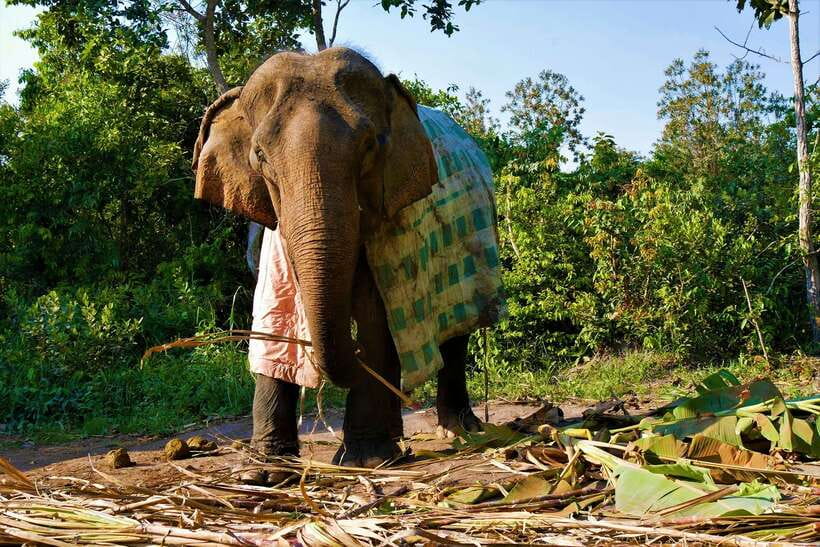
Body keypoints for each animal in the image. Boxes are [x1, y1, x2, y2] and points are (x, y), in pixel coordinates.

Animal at [191, 47, 492, 480]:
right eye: (260, 156)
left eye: (368, 147)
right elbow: (272, 318)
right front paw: (264, 472)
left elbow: (375, 318)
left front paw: (365, 461)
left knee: (456, 330)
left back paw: (459, 431)